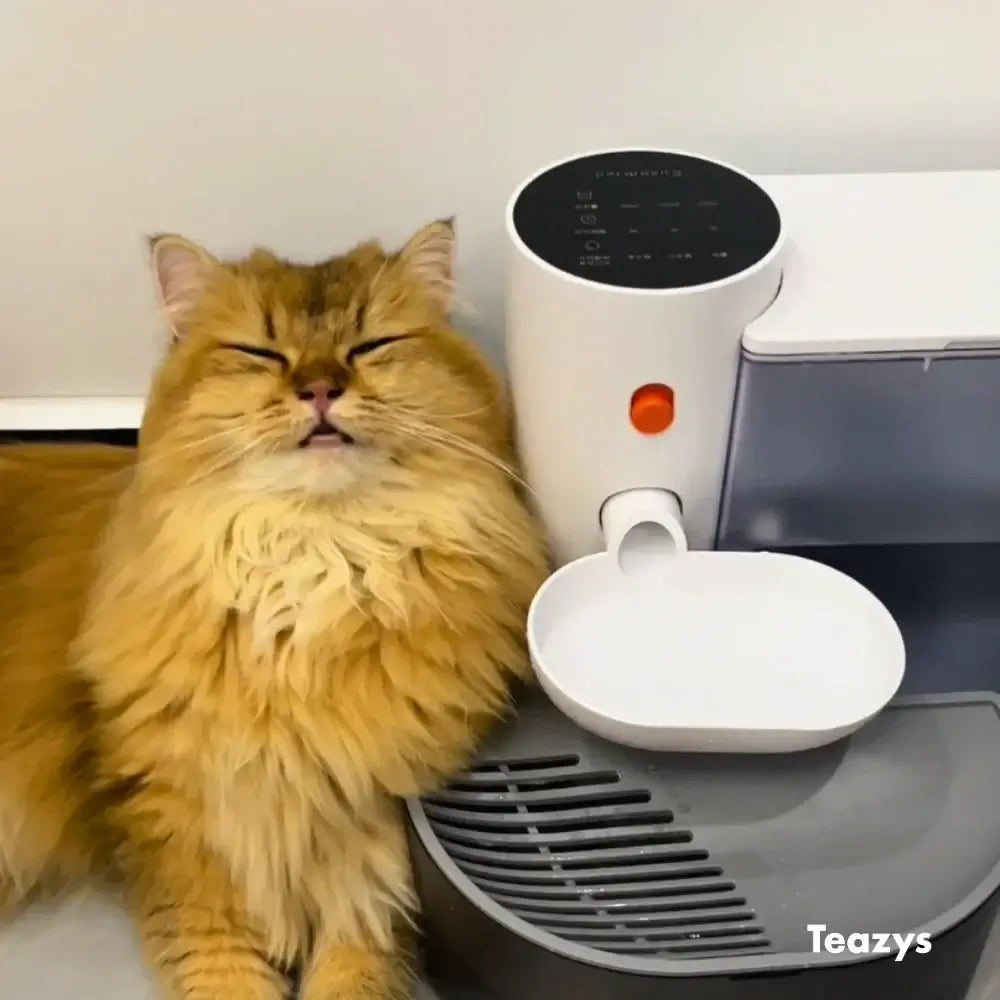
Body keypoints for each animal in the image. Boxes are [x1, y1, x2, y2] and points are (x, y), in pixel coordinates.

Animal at [0, 221, 548, 1000]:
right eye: (261, 352)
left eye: (370, 345)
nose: (320, 388)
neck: (314, 562)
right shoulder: (186, 840)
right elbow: (225, 972)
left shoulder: (373, 847)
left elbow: (353, 971)